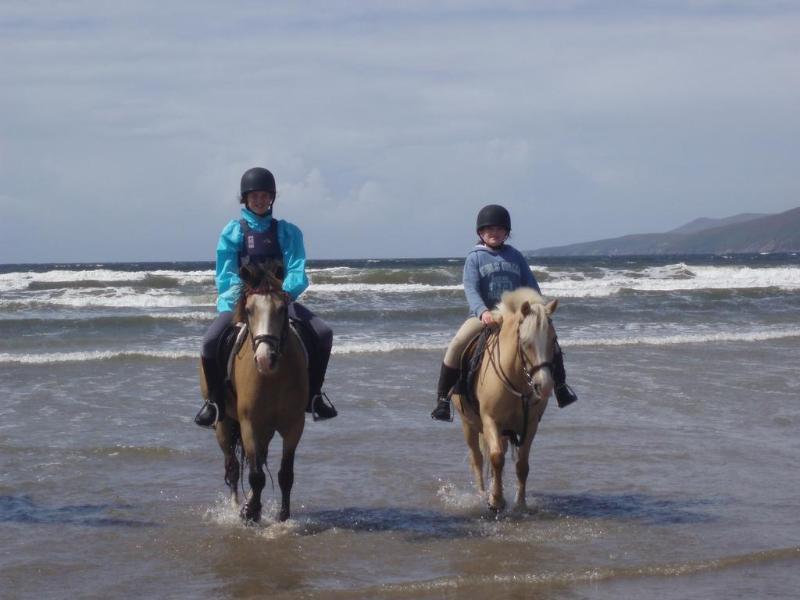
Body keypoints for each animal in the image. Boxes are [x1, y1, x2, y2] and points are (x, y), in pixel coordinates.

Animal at [202, 260, 308, 524]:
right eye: (249, 310)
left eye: (282, 308)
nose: (264, 359)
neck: (273, 378)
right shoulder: (249, 424)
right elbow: (256, 475)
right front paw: (250, 513)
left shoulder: (294, 425)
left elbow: (285, 474)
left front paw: (282, 517)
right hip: (223, 424)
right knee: (233, 466)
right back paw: (236, 505)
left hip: (266, 429)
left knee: (258, 459)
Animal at [450, 290, 556, 510]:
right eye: (525, 342)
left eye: (553, 340)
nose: (544, 386)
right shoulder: (491, 420)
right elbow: (496, 458)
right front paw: (496, 501)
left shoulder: (530, 424)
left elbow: (522, 465)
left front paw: (520, 504)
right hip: (468, 424)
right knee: (478, 458)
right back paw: (482, 494)